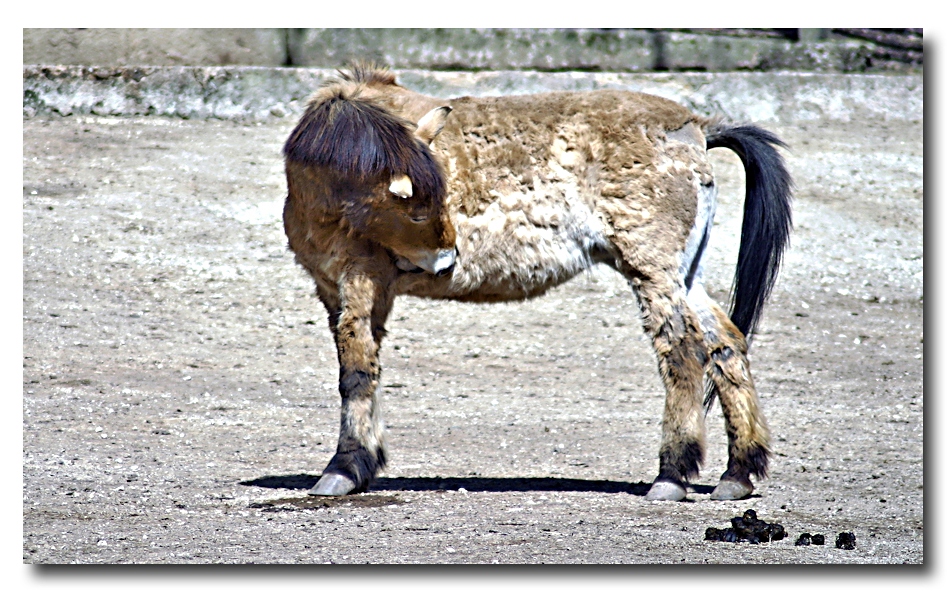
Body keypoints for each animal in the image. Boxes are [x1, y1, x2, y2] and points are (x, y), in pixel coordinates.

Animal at [282, 63, 796, 500]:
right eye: (417, 208)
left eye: (439, 197)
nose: (448, 262)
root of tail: (695, 128)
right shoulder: (335, 289)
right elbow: (362, 368)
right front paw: (361, 463)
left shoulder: (360, 280)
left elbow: (356, 371)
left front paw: (342, 470)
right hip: (686, 276)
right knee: (725, 344)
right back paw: (738, 473)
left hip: (652, 270)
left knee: (683, 352)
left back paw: (671, 475)